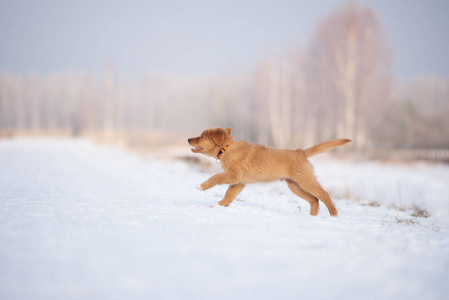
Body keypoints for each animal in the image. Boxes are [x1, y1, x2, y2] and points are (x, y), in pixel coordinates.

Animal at [186, 126, 350, 216]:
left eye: (202, 136)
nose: (188, 139)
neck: (226, 149)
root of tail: (301, 152)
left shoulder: (234, 175)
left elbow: (215, 177)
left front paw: (201, 186)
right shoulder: (239, 182)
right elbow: (229, 195)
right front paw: (218, 206)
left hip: (305, 180)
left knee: (324, 194)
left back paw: (333, 216)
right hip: (294, 185)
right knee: (314, 200)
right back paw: (312, 217)